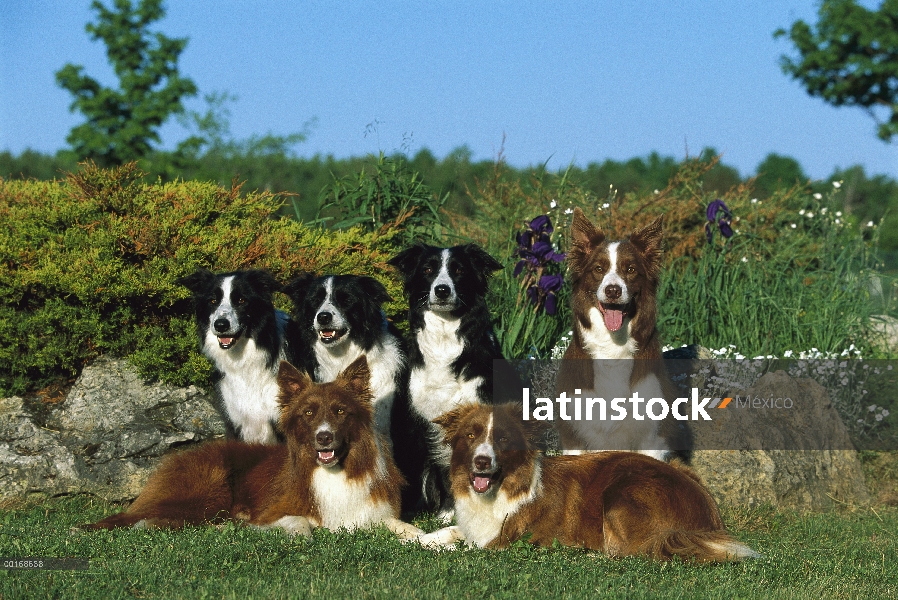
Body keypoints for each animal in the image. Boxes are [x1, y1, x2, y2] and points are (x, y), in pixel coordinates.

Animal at [84, 354, 420, 540]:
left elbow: (403, 526)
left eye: (340, 411)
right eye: (308, 413)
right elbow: (299, 523)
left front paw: (425, 539)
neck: (333, 472)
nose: (323, 437)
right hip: (206, 491)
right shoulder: (274, 510)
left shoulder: (374, 514)